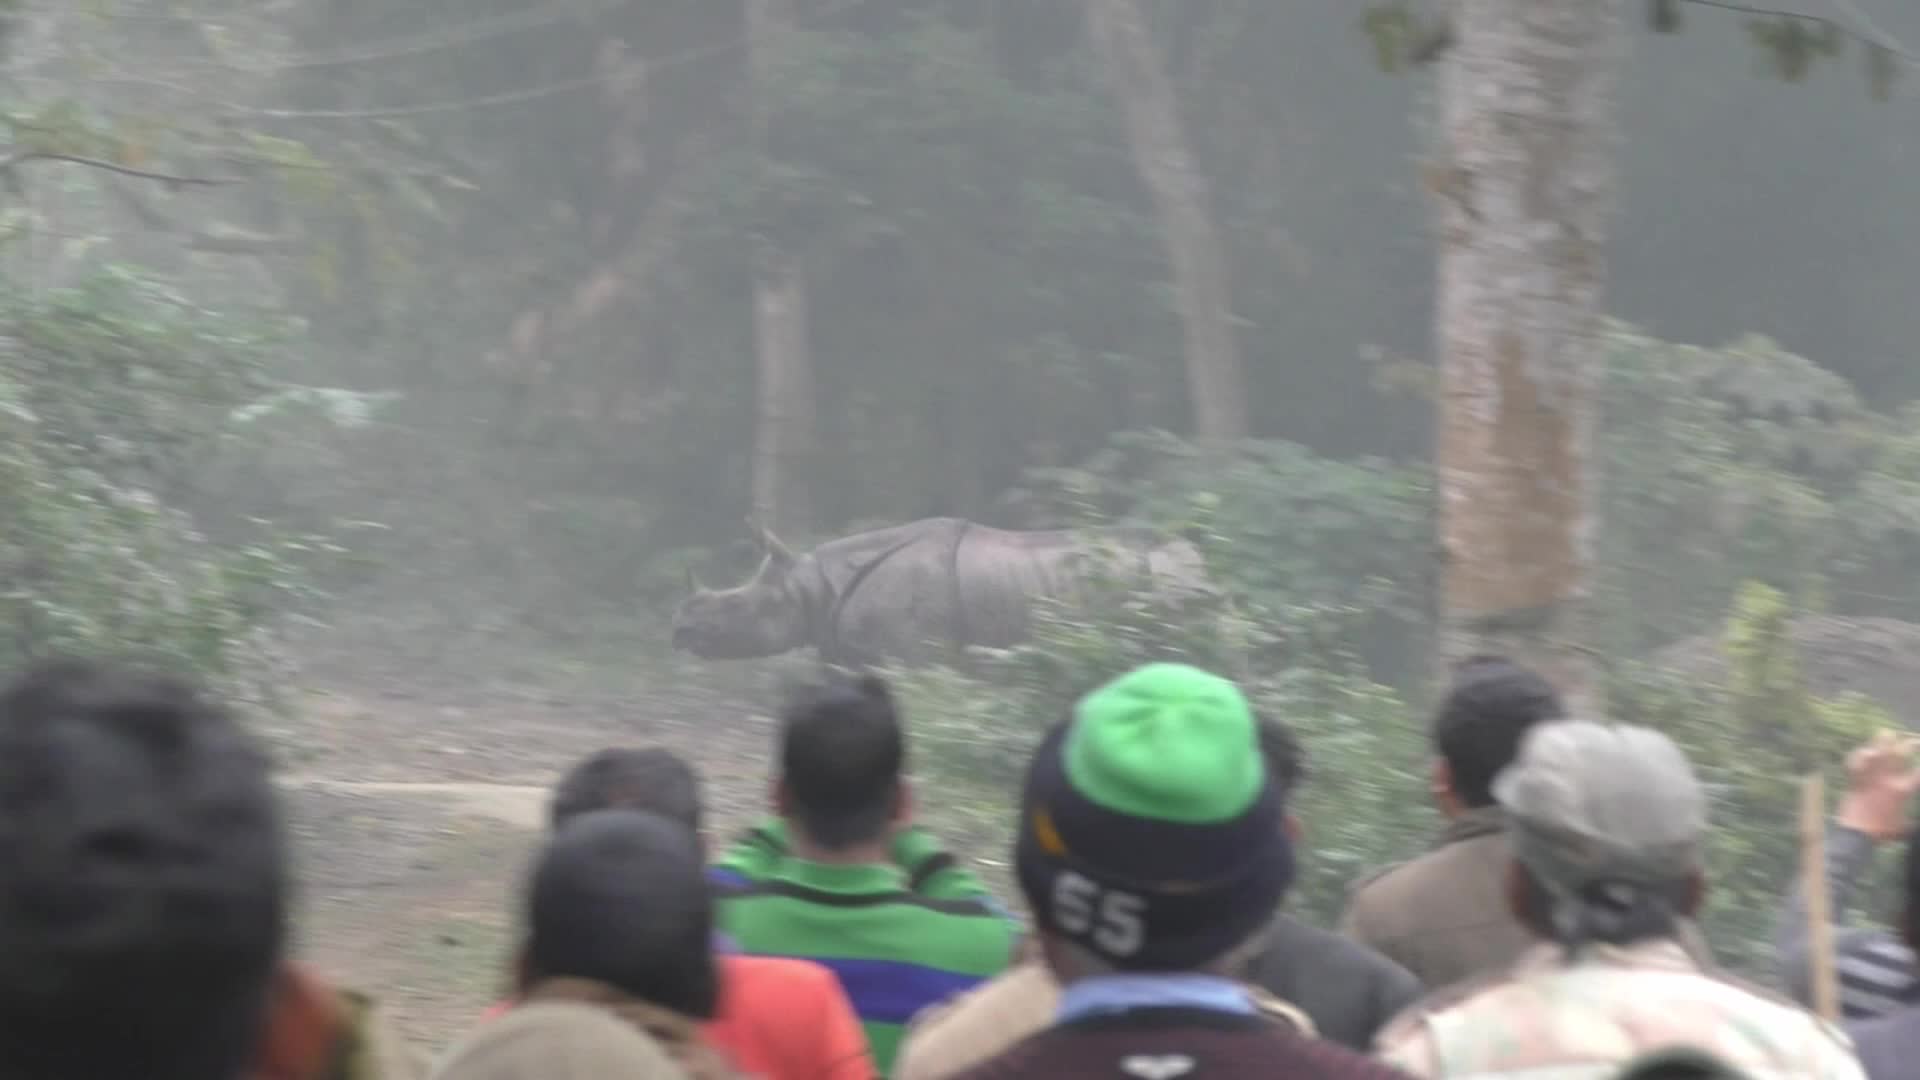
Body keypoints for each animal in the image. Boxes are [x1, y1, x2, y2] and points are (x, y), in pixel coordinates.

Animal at [670, 516, 1210, 666]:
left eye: (736, 603)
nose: (680, 631)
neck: (813, 585)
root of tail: (1194, 553)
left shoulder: (918, 656)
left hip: (1169, 585)